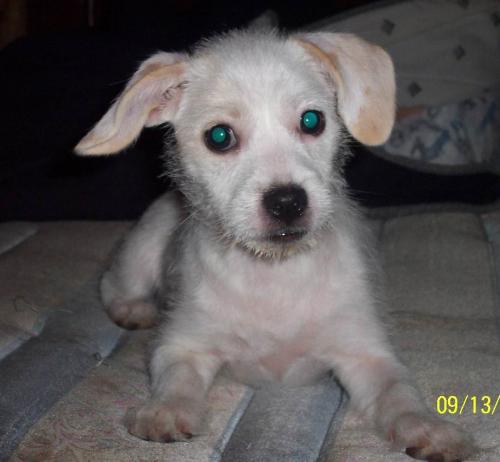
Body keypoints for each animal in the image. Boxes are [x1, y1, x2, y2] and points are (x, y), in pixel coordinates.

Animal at [75, 28, 473, 461]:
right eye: (219, 136)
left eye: (312, 121)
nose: (287, 202)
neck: (275, 273)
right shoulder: (182, 346)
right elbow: (177, 379)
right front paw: (166, 410)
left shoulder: (367, 354)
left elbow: (398, 392)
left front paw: (427, 426)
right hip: (140, 253)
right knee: (112, 283)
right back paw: (132, 309)